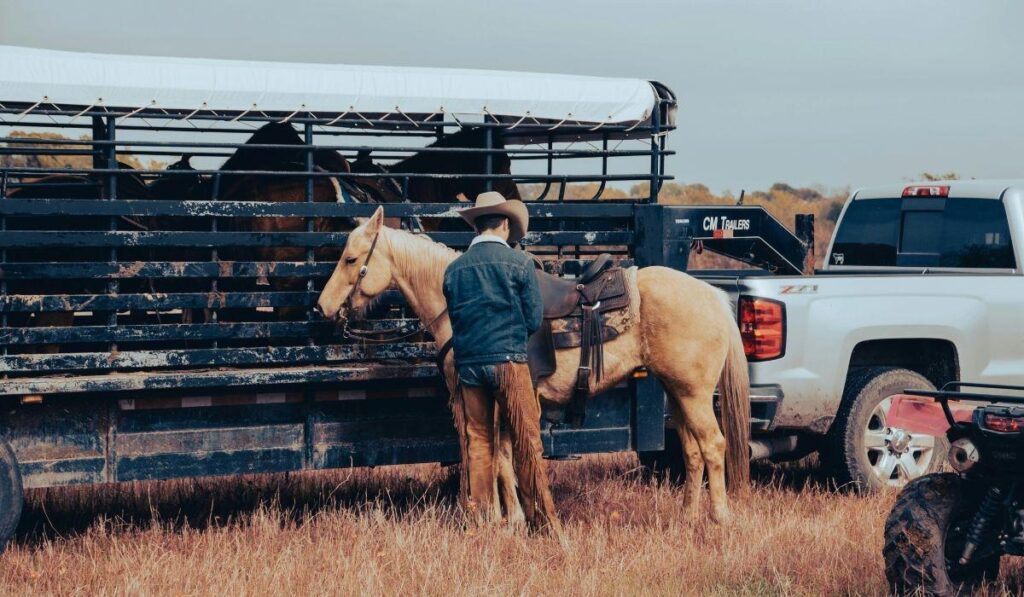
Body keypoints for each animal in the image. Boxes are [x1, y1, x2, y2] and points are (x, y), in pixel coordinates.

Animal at [315, 207, 751, 526]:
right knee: (693, 451)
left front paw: (503, 518)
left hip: (694, 394)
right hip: (676, 392)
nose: (322, 307)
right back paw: (688, 516)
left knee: (715, 446)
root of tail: (711, 294)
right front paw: (514, 517)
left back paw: (721, 518)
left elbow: (497, 457)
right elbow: (506, 456)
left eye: (351, 258)